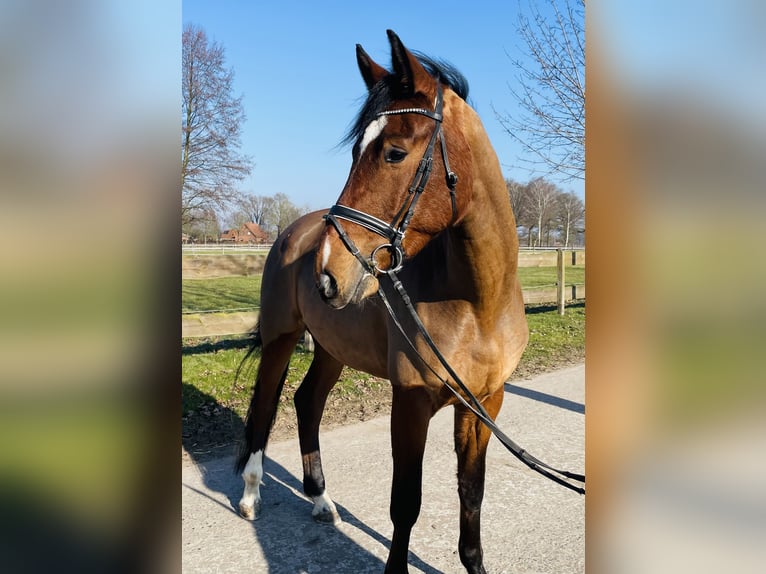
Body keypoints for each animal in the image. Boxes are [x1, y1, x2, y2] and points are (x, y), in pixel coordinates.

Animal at [237, 31, 532, 574]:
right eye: (356, 149)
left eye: (394, 152)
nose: (329, 272)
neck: (478, 305)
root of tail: (293, 232)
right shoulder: (410, 403)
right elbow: (405, 504)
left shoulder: (486, 403)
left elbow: (472, 493)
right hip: (281, 339)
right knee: (266, 406)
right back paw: (250, 495)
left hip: (331, 348)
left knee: (306, 403)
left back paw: (320, 500)